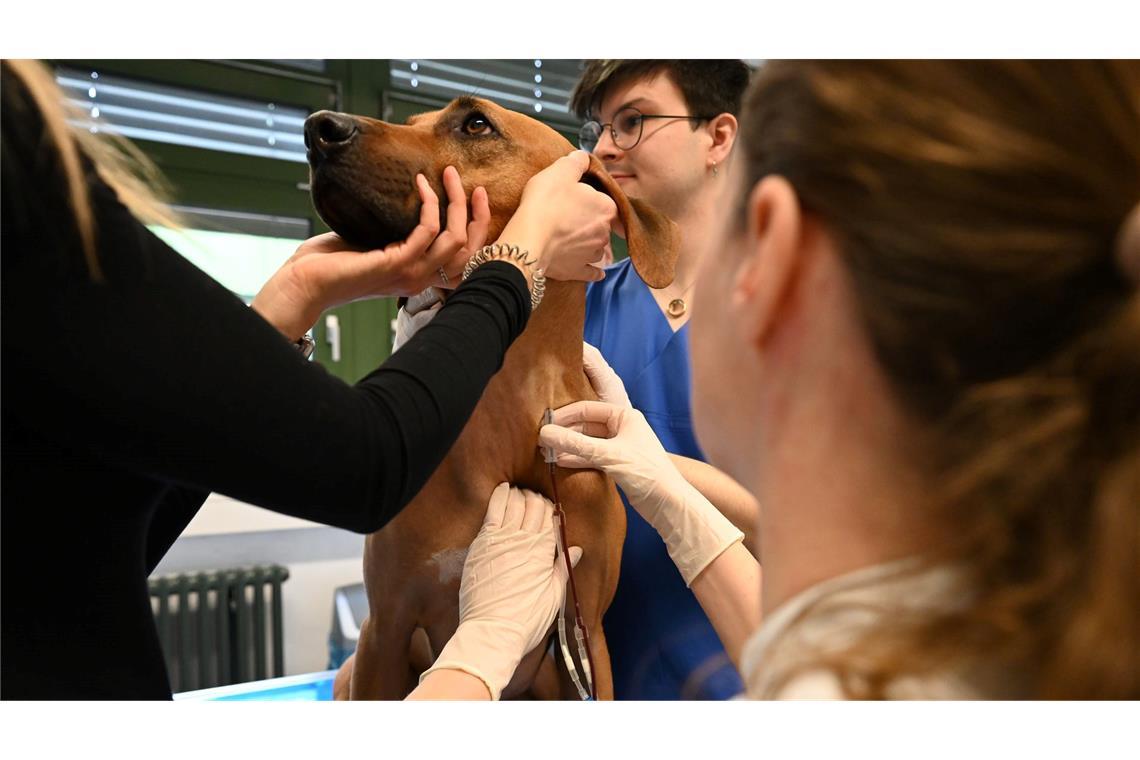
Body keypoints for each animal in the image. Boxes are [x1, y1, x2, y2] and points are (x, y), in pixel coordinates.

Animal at [305, 96, 674, 701]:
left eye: (475, 123)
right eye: (410, 123)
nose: (318, 129)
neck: (507, 408)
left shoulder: (588, 634)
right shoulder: (385, 628)